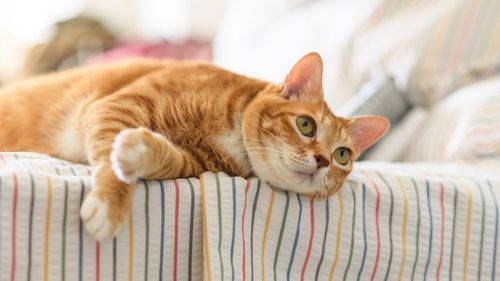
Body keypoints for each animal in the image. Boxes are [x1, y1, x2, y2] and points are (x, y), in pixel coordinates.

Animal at [0, 52, 388, 238]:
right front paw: (110, 205)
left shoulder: (193, 164)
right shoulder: (116, 106)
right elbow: (112, 166)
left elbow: (165, 158)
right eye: (305, 125)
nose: (323, 159)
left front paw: (141, 149)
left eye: (342, 156)